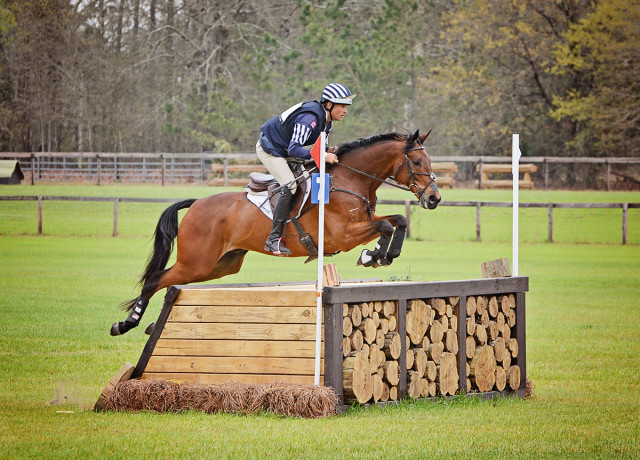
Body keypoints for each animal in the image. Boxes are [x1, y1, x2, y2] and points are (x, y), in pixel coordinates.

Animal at [110, 127, 440, 336]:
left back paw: (150, 326)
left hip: (219, 265)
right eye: (416, 161)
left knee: (170, 283)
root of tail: (196, 203)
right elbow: (385, 225)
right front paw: (373, 255)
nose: (434, 198)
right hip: (197, 261)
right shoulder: (342, 236)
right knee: (155, 280)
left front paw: (383, 254)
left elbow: (398, 220)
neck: (350, 180)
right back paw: (125, 325)